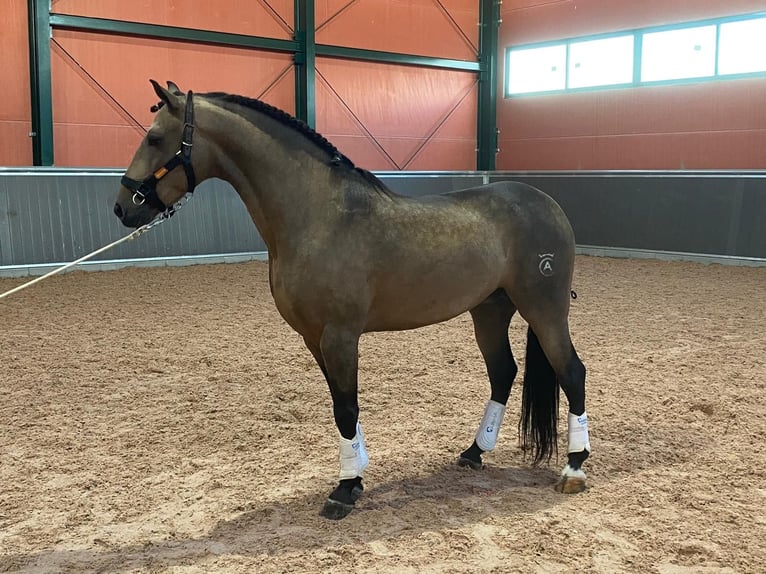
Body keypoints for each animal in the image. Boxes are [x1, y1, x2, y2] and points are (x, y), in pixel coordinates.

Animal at [114, 81, 592, 520]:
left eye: (155, 138)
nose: (123, 208)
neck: (319, 217)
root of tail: (547, 203)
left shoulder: (340, 336)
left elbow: (346, 407)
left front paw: (344, 490)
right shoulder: (314, 339)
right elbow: (341, 407)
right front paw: (356, 474)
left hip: (544, 309)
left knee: (571, 372)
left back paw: (574, 467)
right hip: (489, 310)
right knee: (503, 373)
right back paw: (474, 452)